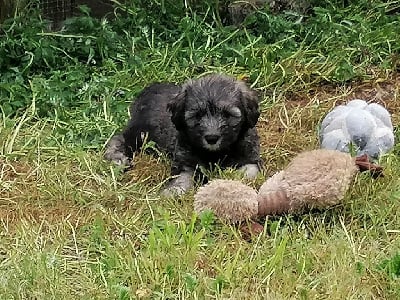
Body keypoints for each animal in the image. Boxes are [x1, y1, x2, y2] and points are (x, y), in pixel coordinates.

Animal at [105, 74, 262, 196]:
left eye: (227, 114)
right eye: (197, 115)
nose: (211, 138)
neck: (214, 154)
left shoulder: (250, 159)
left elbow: (248, 173)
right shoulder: (186, 164)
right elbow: (183, 179)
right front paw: (172, 192)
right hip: (141, 133)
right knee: (119, 138)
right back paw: (117, 157)